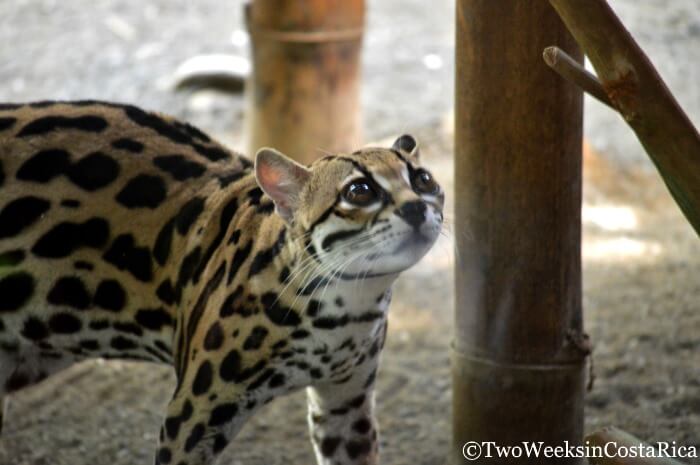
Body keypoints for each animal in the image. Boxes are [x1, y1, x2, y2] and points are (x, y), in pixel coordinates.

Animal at [0, 101, 442, 464]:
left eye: (423, 180)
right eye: (359, 190)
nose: (417, 208)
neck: (346, 308)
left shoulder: (346, 406)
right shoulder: (191, 417)